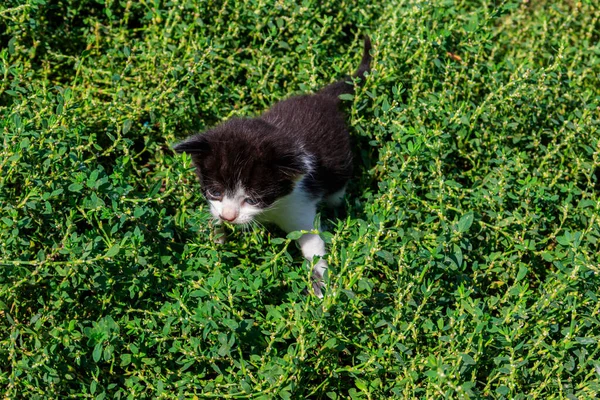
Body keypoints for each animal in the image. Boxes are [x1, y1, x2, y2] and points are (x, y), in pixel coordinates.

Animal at [173, 36, 370, 296]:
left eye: (253, 199)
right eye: (215, 192)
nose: (229, 217)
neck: (269, 211)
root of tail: (322, 98)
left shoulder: (300, 203)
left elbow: (313, 245)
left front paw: (320, 286)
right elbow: (214, 219)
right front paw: (216, 239)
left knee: (336, 193)